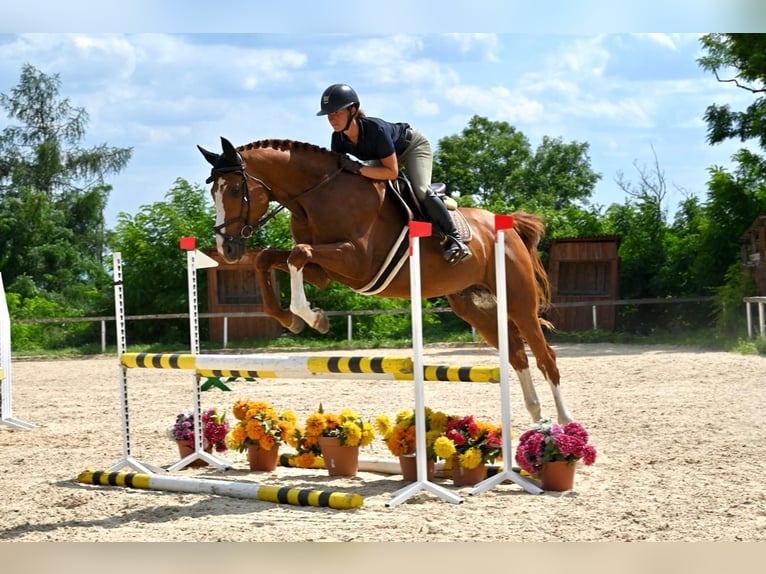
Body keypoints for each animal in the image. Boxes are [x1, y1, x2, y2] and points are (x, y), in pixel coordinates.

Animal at [197, 136, 573, 424]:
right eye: (214, 192)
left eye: (235, 190)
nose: (226, 248)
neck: (316, 196)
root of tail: (507, 224)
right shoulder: (327, 271)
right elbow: (269, 258)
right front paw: (293, 319)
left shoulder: (357, 261)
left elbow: (297, 254)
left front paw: (312, 318)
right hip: (472, 306)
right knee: (517, 354)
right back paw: (537, 416)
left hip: (519, 300)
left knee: (546, 357)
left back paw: (564, 422)